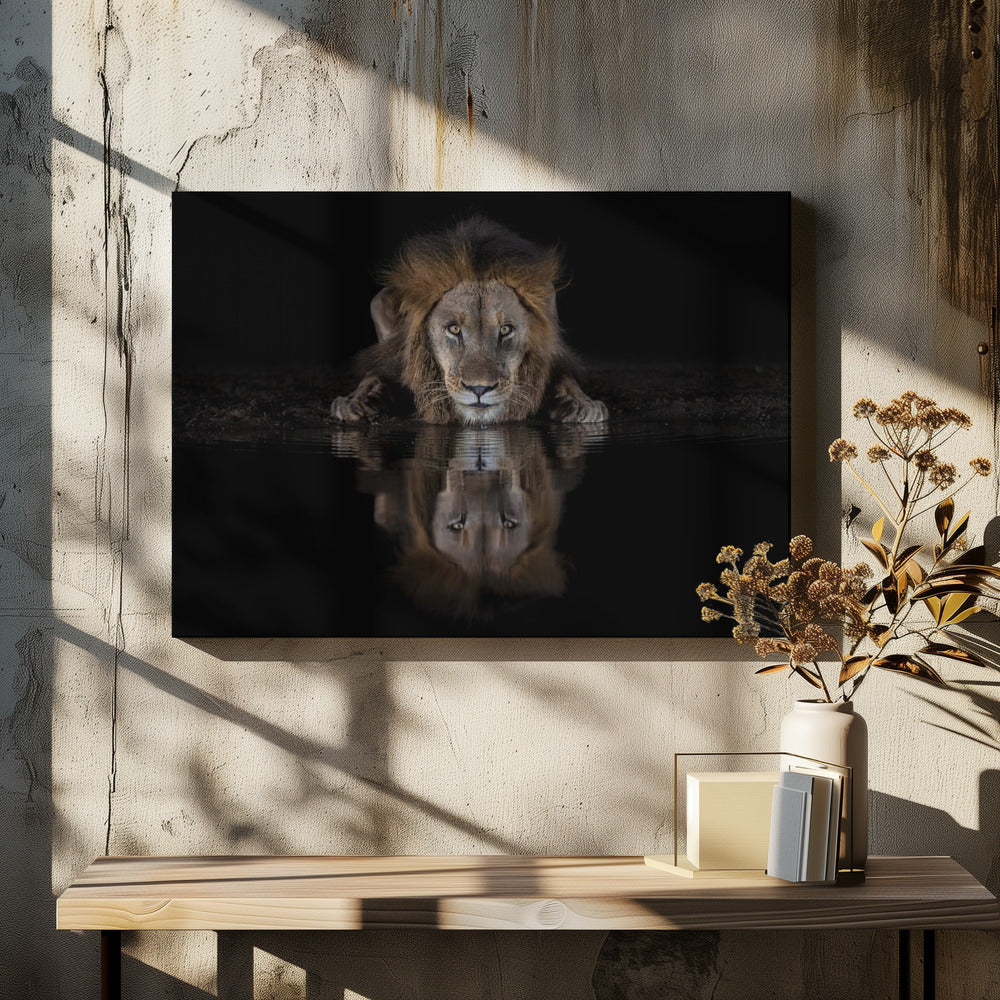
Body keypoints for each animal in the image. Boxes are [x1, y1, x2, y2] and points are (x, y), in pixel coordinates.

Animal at [330, 217, 608, 426]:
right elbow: (373, 374)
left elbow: (566, 379)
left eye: (506, 329)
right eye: (454, 329)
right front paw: (355, 402)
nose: (479, 389)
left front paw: (583, 405)